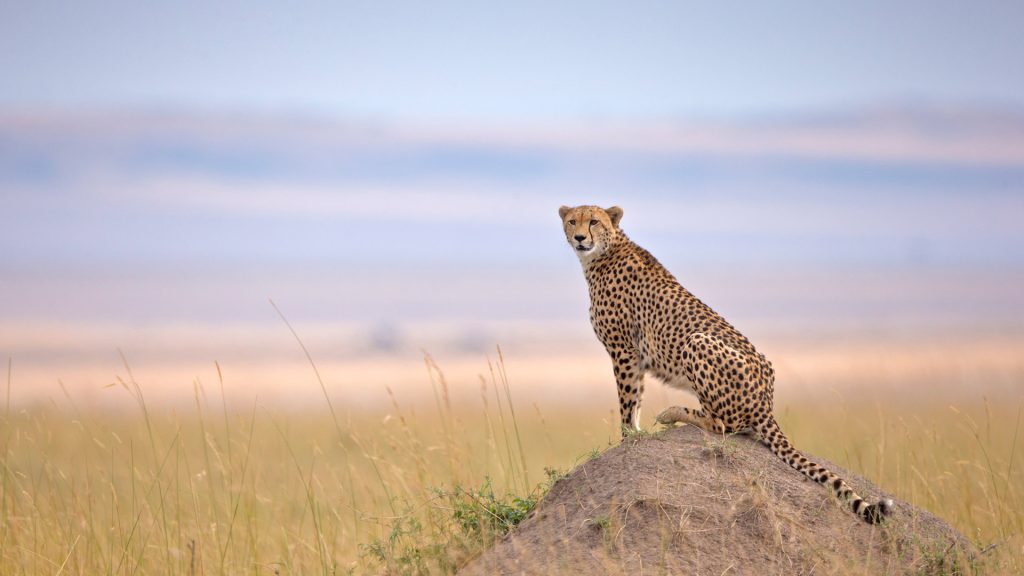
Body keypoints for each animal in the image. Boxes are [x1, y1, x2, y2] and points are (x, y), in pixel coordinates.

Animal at [559, 204, 893, 524]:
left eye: (594, 221)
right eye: (573, 221)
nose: (580, 238)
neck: (603, 254)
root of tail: (766, 403)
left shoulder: (624, 351)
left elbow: (628, 402)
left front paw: (628, 437)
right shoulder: (633, 354)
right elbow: (636, 396)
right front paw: (633, 435)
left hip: (696, 341)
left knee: (722, 425)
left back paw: (673, 413)